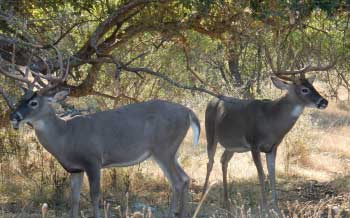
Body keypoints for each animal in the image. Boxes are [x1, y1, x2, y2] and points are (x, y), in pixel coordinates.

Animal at [200, 60, 334, 213]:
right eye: (304, 89)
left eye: (313, 86)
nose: (324, 102)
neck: (270, 120)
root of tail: (211, 101)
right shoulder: (254, 143)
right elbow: (261, 174)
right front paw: (264, 207)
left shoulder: (273, 147)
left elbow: (272, 174)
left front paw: (276, 208)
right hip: (210, 133)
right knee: (210, 162)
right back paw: (202, 197)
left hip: (233, 146)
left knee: (223, 160)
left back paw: (226, 202)